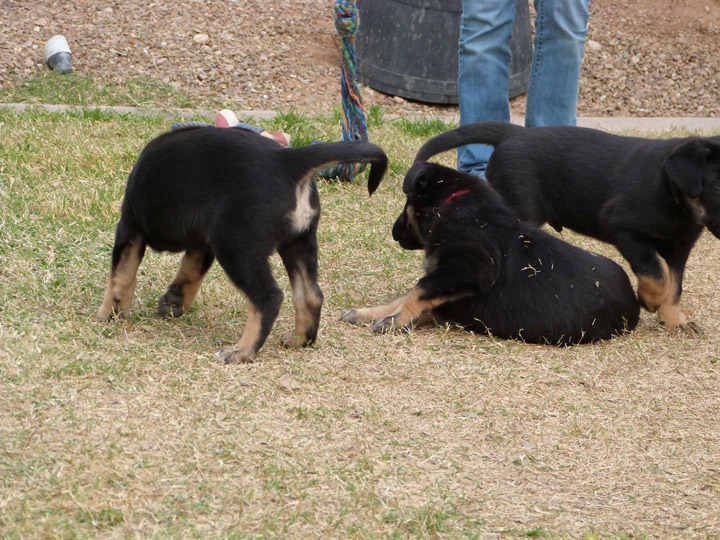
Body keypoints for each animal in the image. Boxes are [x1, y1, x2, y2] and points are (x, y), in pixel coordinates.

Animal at [100, 125, 388, 362]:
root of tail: (288, 162)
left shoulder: (130, 227)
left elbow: (121, 277)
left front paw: (109, 315)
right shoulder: (202, 243)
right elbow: (189, 274)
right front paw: (173, 302)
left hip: (235, 245)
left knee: (269, 296)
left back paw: (241, 351)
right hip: (298, 243)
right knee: (310, 295)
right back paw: (299, 340)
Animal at [340, 161, 640, 346]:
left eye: (407, 203)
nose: (393, 231)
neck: (452, 204)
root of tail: (634, 301)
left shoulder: (472, 267)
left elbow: (419, 290)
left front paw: (395, 320)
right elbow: (406, 296)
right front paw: (369, 313)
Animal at [410, 122, 720, 332]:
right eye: (716, 185)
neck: (674, 197)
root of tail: (514, 133)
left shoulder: (681, 248)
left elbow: (674, 283)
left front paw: (674, 319)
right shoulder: (622, 227)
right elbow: (656, 273)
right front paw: (650, 300)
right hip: (520, 208)